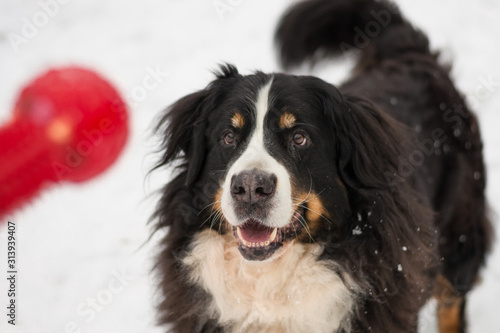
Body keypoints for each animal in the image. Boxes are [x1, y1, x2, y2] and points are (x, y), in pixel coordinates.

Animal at [151, 0, 492, 330]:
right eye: (229, 136)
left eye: (299, 137)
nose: (249, 187)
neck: (270, 282)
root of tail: (409, 52)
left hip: (458, 235)